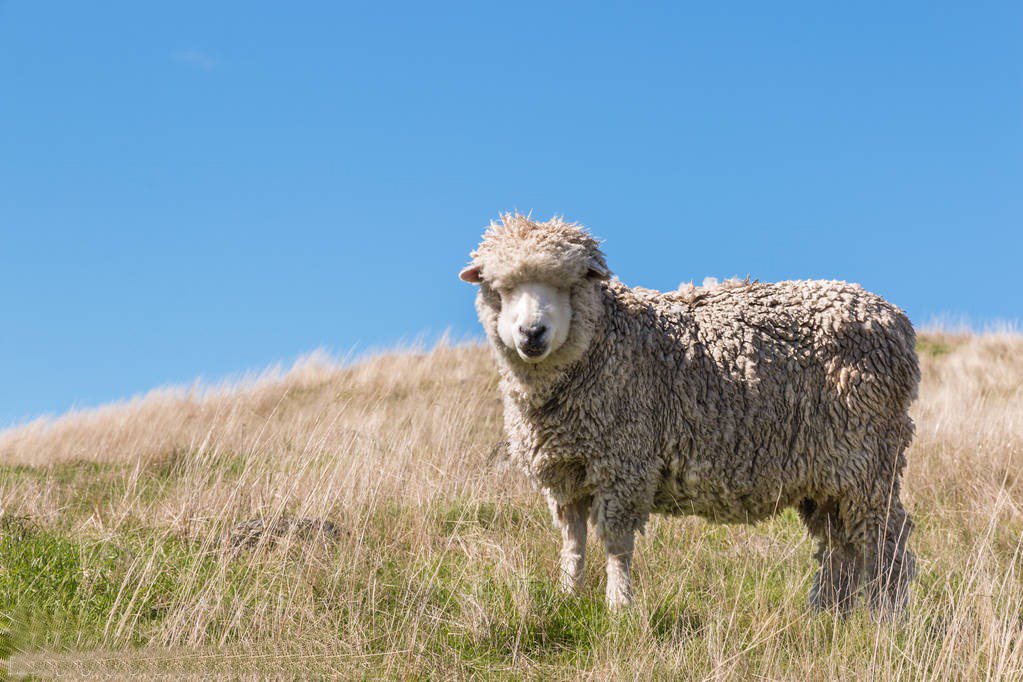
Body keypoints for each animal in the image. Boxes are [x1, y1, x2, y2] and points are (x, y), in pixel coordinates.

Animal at [460, 213, 924, 613]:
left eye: (569, 284)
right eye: (500, 288)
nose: (532, 334)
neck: (604, 339)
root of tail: (896, 322)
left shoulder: (624, 463)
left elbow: (616, 544)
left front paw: (618, 606)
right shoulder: (566, 474)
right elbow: (573, 542)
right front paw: (567, 595)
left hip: (868, 459)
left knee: (884, 539)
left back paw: (887, 616)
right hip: (826, 474)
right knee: (840, 545)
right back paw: (828, 614)